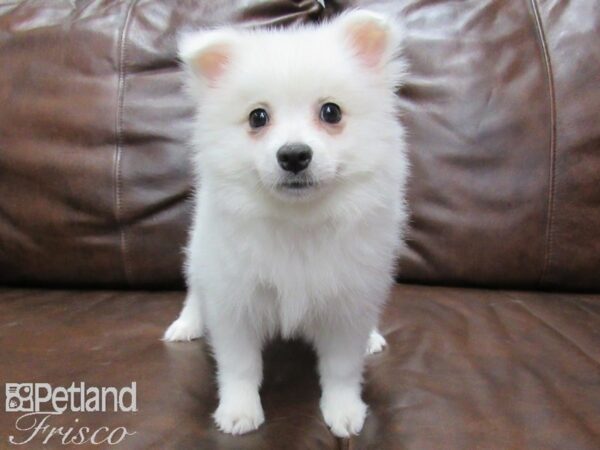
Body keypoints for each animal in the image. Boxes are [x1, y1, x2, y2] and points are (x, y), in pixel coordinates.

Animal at [164, 10, 408, 438]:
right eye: (257, 117)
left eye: (331, 112)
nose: (294, 155)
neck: (299, 221)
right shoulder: (233, 296)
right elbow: (240, 365)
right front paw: (239, 411)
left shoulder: (350, 302)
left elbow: (342, 367)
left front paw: (344, 411)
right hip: (199, 252)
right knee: (194, 288)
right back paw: (187, 323)